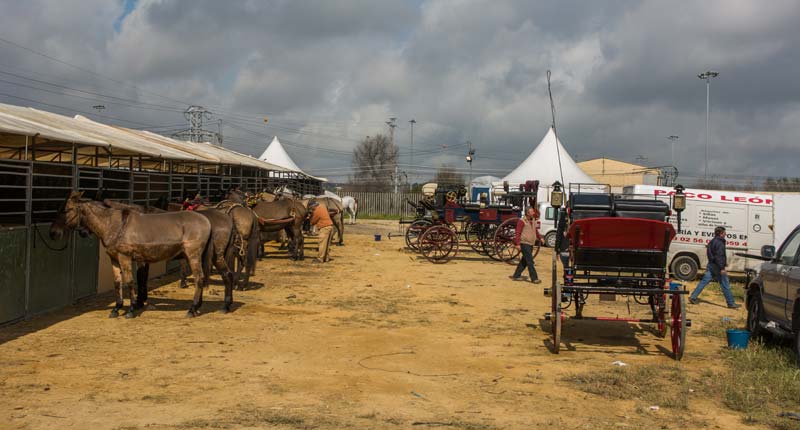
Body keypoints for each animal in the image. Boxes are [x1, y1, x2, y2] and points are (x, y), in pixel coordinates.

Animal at [49, 192, 212, 320]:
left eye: (66, 210)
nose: (53, 233)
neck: (114, 225)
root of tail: (206, 221)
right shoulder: (114, 258)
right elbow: (117, 282)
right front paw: (116, 308)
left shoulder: (125, 257)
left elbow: (130, 281)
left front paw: (131, 310)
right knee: (200, 278)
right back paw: (197, 307)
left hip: (193, 255)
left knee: (199, 278)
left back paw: (192, 309)